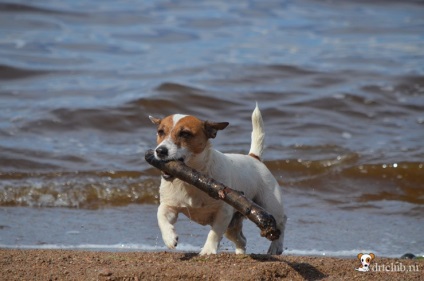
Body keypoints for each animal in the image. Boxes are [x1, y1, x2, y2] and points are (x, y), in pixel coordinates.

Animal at [151, 103, 286, 254]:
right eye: (160, 132)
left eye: (185, 134)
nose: (160, 151)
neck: (192, 179)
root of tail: (253, 157)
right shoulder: (170, 205)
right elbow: (160, 214)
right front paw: (169, 237)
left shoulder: (223, 212)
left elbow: (214, 233)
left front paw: (208, 250)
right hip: (232, 226)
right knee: (242, 240)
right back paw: (240, 254)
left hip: (269, 205)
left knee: (281, 222)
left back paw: (276, 246)